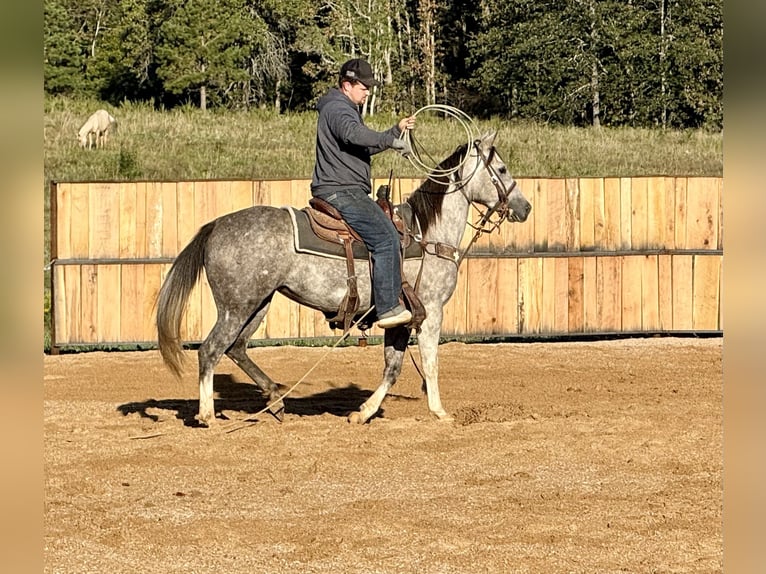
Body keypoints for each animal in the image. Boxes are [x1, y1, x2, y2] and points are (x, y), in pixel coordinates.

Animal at [156, 130, 531, 426]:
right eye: (501, 169)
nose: (525, 207)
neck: (426, 235)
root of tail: (216, 225)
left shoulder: (399, 319)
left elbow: (393, 368)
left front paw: (363, 412)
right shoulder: (431, 311)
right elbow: (430, 362)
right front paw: (440, 413)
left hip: (257, 304)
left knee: (236, 348)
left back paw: (275, 399)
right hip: (235, 307)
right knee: (210, 350)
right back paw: (207, 415)